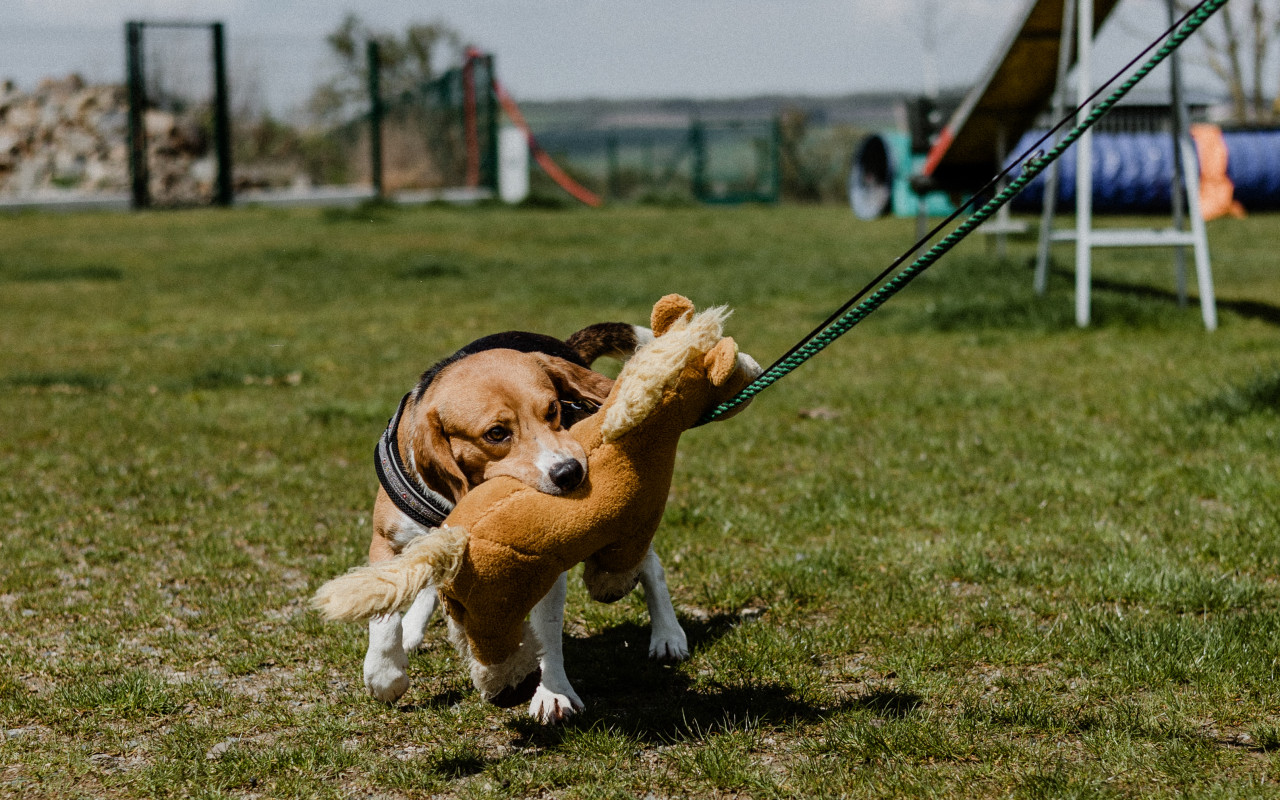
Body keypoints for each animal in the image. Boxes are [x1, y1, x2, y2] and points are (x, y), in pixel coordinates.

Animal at [360, 321, 691, 721]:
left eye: (553, 410)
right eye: (496, 433)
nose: (570, 472)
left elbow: (547, 632)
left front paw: (553, 692)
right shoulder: (385, 540)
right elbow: (383, 614)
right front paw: (384, 674)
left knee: (650, 566)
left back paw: (667, 635)